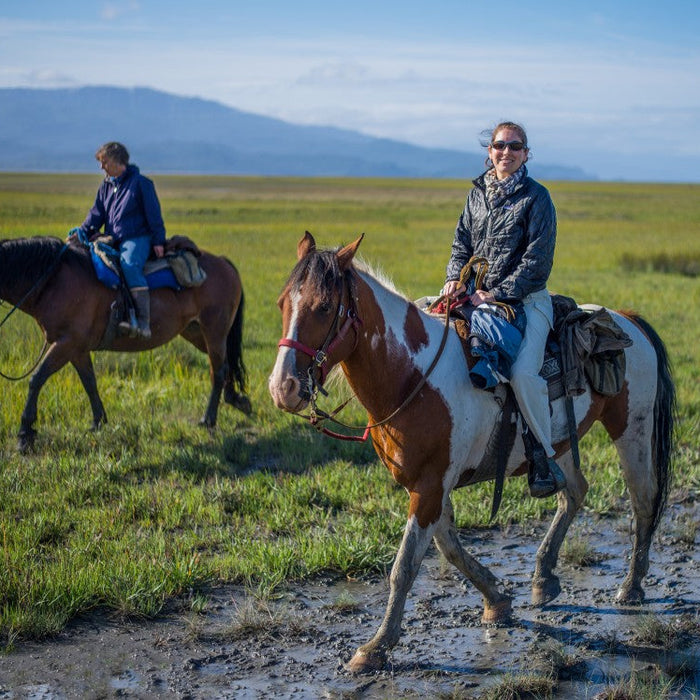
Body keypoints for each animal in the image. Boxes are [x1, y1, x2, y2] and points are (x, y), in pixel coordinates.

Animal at [0, 238, 252, 452]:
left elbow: (37, 379)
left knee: (218, 371)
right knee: (225, 365)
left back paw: (208, 420)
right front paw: (98, 422)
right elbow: (89, 382)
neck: (54, 281)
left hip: (214, 331)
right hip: (197, 333)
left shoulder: (66, 343)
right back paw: (237, 400)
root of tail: (223, 263)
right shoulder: (77, 349)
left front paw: (25, 435)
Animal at [270, 234, 676, 672]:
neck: (413, 376)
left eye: (324, 307)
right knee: (574, 492)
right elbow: (448, 547)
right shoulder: (429, 485)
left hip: (632, 428)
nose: (283, 387)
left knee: (642, 498)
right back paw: (544, 578)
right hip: (559, 442)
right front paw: (497, 601)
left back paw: (631, 585)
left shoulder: (430, 486)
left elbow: (405, 565)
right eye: (282, 303)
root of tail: (627, 318)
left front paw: (376, 646)